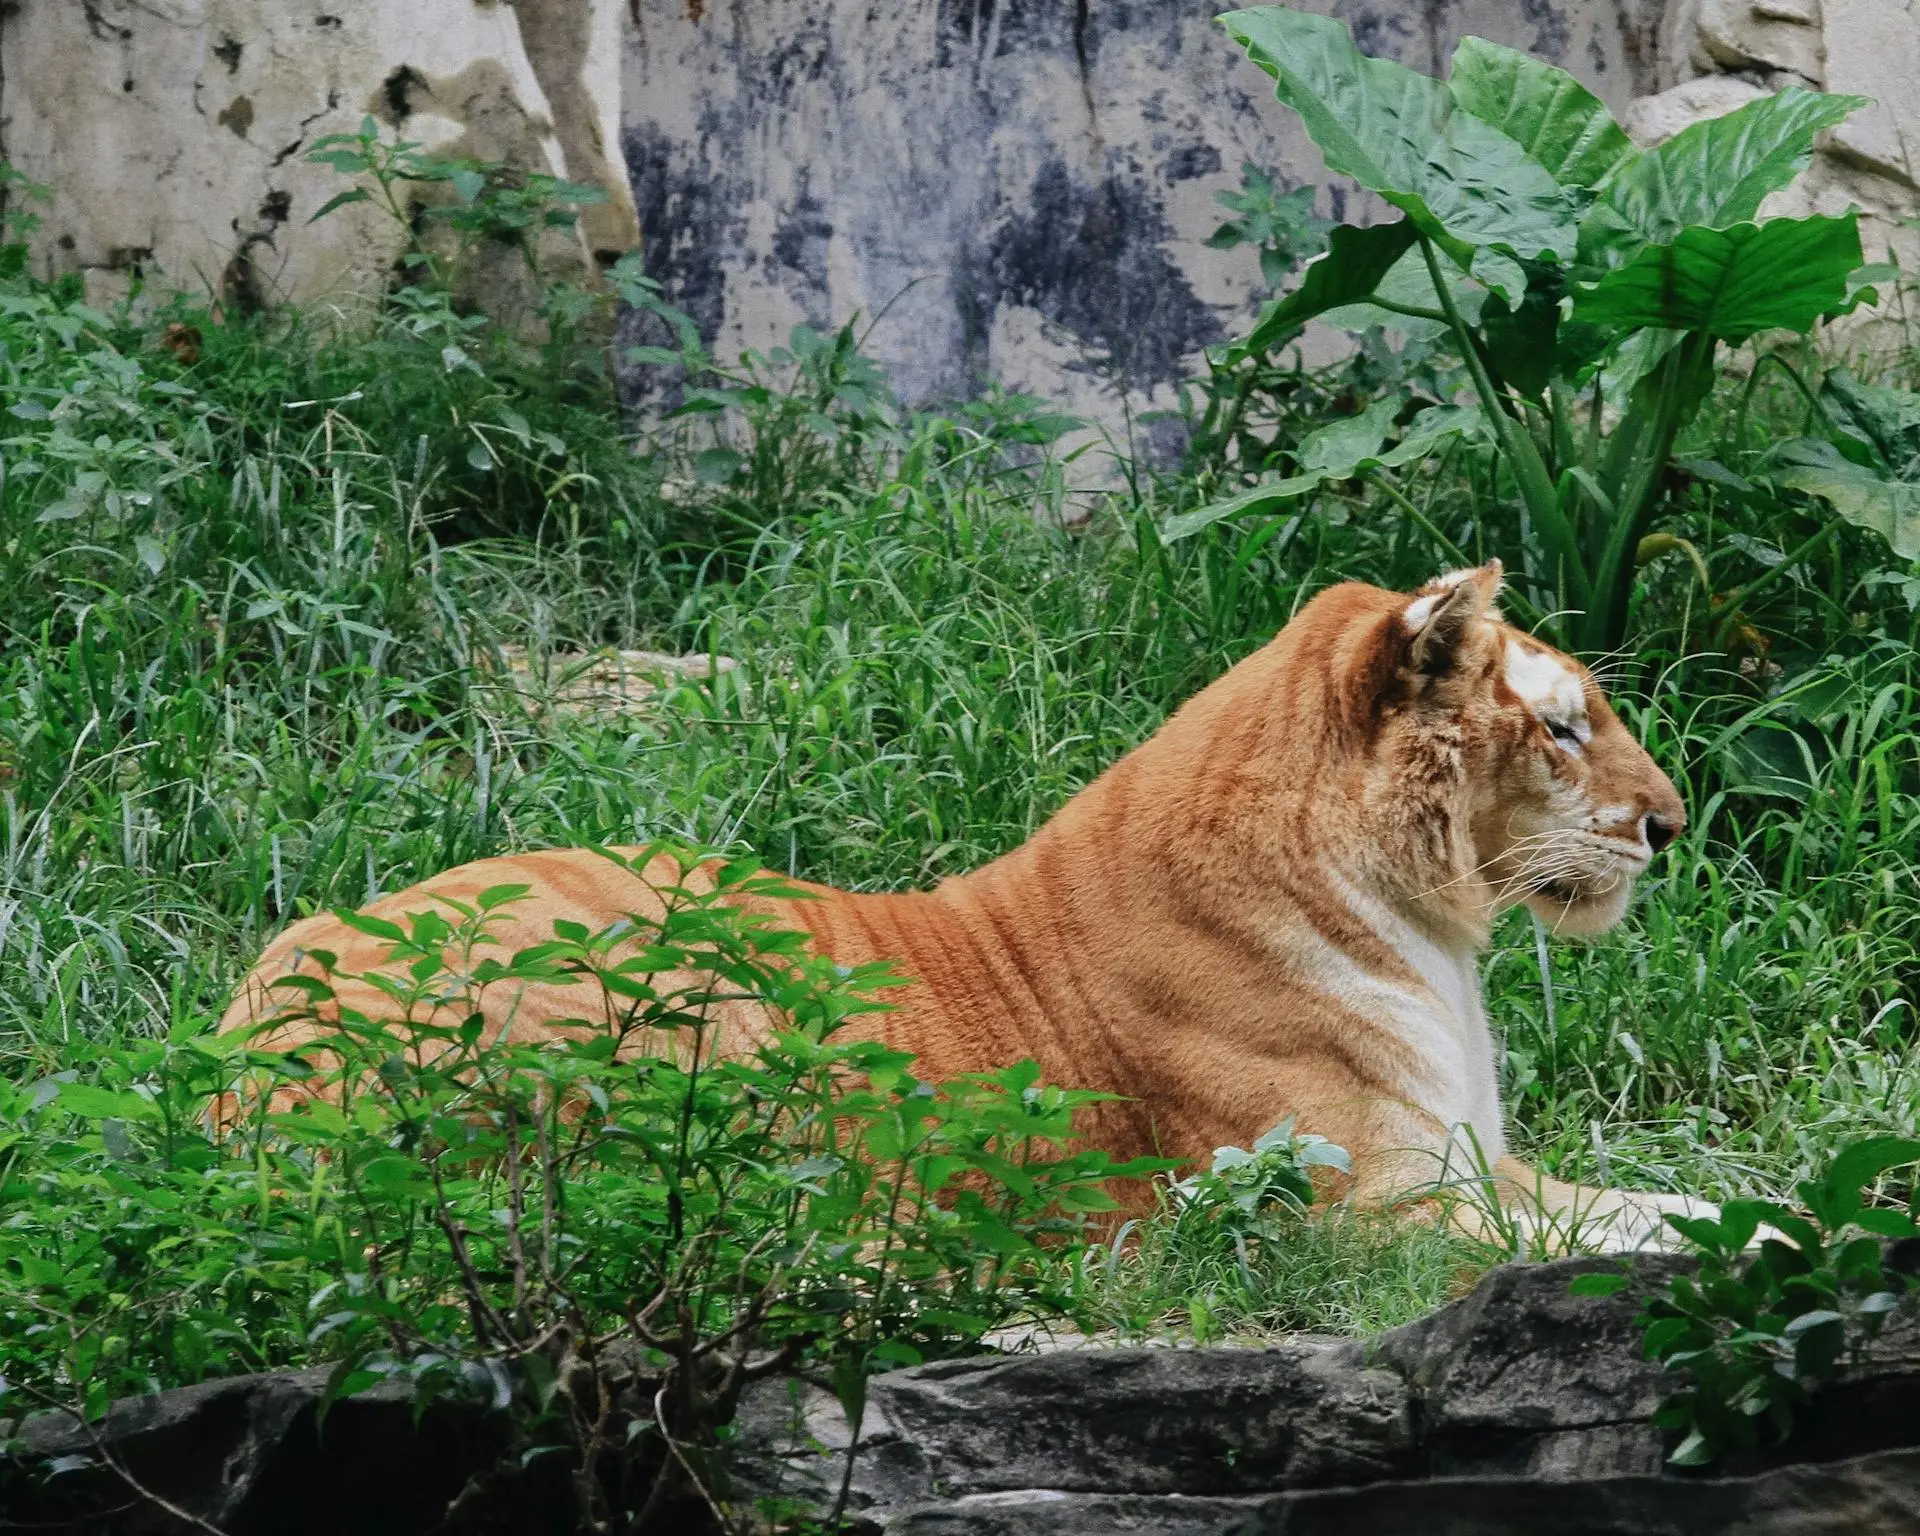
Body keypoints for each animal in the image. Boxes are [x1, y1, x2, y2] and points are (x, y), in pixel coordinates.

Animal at [221, 560, 1711, 1250]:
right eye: (1564, 727)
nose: (1673, 824)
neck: (1435, 932)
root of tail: (240, 1062)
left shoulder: (1476, 1163)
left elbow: (1661, 1202)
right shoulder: (1373, 1209)